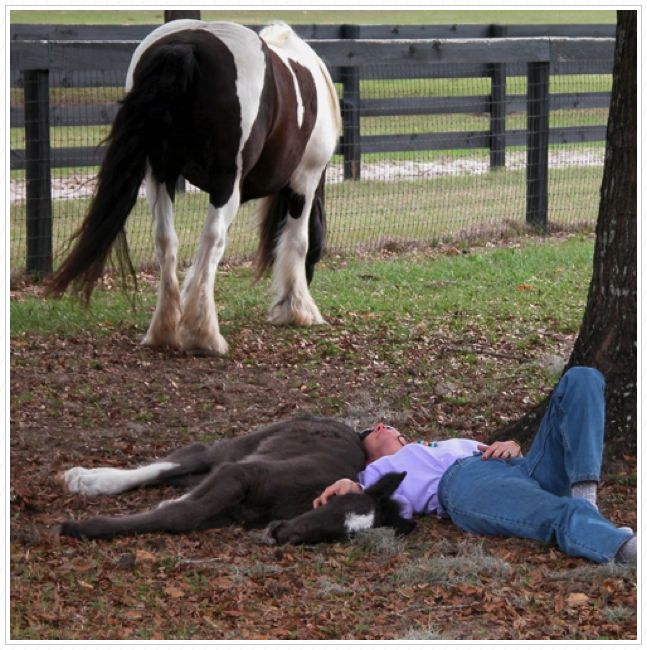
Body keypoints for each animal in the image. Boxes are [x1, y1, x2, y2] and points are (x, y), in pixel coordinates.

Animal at [45, 22, 342, 354]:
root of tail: (185, 46)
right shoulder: (306, 179)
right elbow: (298, 241)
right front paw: (297, 309)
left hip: (161, 175)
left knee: (165, 239)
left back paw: (164, 330)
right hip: (226, 185)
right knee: (212, 238)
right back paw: (204, 335)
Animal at [60, 416, 416, 540]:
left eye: (342, 535)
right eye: (335, 504)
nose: (280, 534)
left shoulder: (230, 506)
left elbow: (182, 513)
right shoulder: (244, 473)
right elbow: (182, 515)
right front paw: (81, 528)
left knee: (189, 477)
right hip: (241, 448)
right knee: (186, 459)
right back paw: (85, 479)